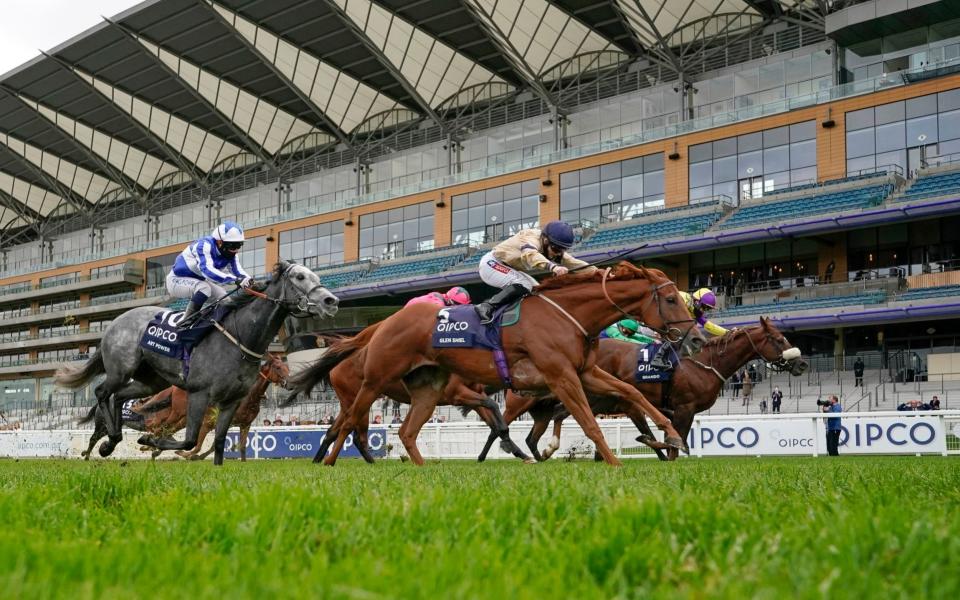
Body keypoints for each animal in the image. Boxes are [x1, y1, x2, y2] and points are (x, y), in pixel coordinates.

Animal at [54, 262, 338, 464]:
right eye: (299, 277)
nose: (331, 301)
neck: (240, 338)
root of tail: (113, 322)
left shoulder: (231, 402)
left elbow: (220, 441)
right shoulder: (199, 394)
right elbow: (189, 440)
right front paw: (152, 442)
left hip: (152, 382)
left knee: (119, 396)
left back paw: (112, 441)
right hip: (121, 370)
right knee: (103, 392)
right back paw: (109, 441)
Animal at [288, 264, 700, 468]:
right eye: (669, 299)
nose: (694, 337)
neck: (568, 315)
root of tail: (382, 323)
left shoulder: (585, 371)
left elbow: (631, 392)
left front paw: (671, 436)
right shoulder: (561, 376)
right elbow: (589, 422)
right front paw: (614, 462)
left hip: (427, 389)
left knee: (405, 431)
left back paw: (421, 470)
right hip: (374, 381)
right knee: (348, 424)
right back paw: (330, 462)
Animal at [476, 322, 808, 462]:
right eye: (778, 339)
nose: (803, 363)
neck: (704, 364)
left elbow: (663, 437)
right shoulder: (683, 407)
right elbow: (673, 440)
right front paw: (666, 452)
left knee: (541, 428)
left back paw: (540, 452)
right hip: (525, 404)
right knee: (499, 427)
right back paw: (494, 455)